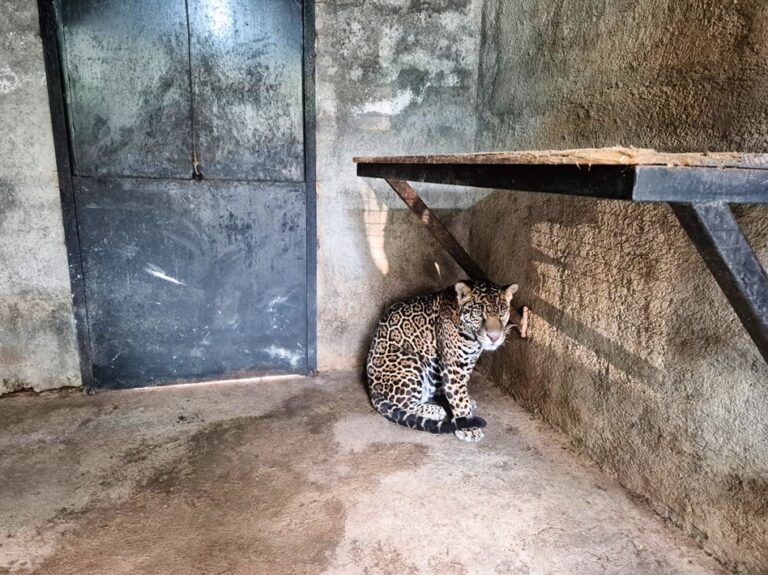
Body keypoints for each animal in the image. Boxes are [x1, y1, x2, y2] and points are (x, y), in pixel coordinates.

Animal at [366, 279, 519, 442]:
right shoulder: (453, 366)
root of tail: (372, 387)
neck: (473, 339)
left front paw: (465, 403)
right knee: (404, 403)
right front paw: (469, 428)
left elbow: (460, 390)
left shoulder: (468, 362)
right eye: (478, 314)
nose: (494, 337)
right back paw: (435, 410)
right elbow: (458, 397)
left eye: (502, 312)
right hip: (410, 359)